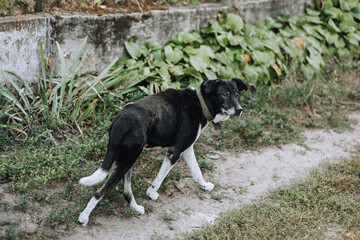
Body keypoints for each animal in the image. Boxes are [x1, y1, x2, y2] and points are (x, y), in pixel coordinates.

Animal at [79, 78, 248, 225]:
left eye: (237, 94)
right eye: (224, 93)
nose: (239, 110)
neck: (200, 103)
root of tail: (121, 120)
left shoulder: (187, 149)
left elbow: (196, 171)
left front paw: (204, 185)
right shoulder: (174, 152)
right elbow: (160, 178)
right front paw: (151, 193)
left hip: (127, 158)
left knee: (126, 191)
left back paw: (136, 208)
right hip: (128, 159)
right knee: (99, 192)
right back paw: (83, 217)